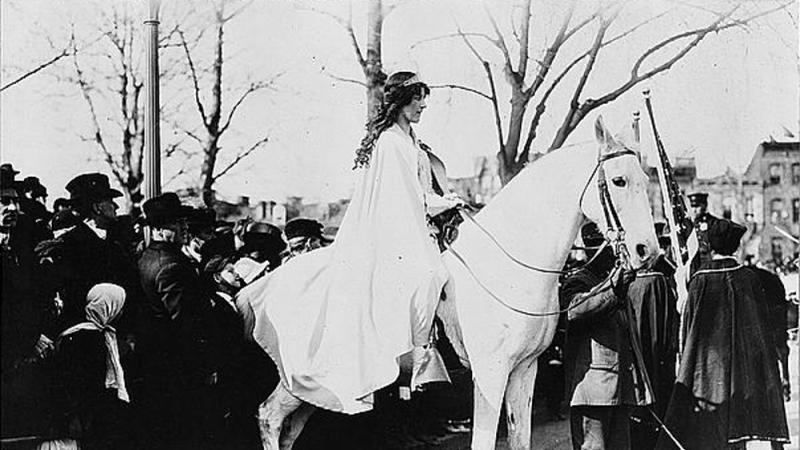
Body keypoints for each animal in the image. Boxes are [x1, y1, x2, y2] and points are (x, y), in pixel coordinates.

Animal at [248, 117, 656, 450]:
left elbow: (520, 438)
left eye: (646, 180)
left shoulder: (525, 370)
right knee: (268, 416)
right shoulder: (490, 375)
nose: (647, 250)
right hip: (304, 379)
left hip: (318, 389)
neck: (505, 269)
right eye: (619, 181)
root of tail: (264, 286)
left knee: (287, 428)